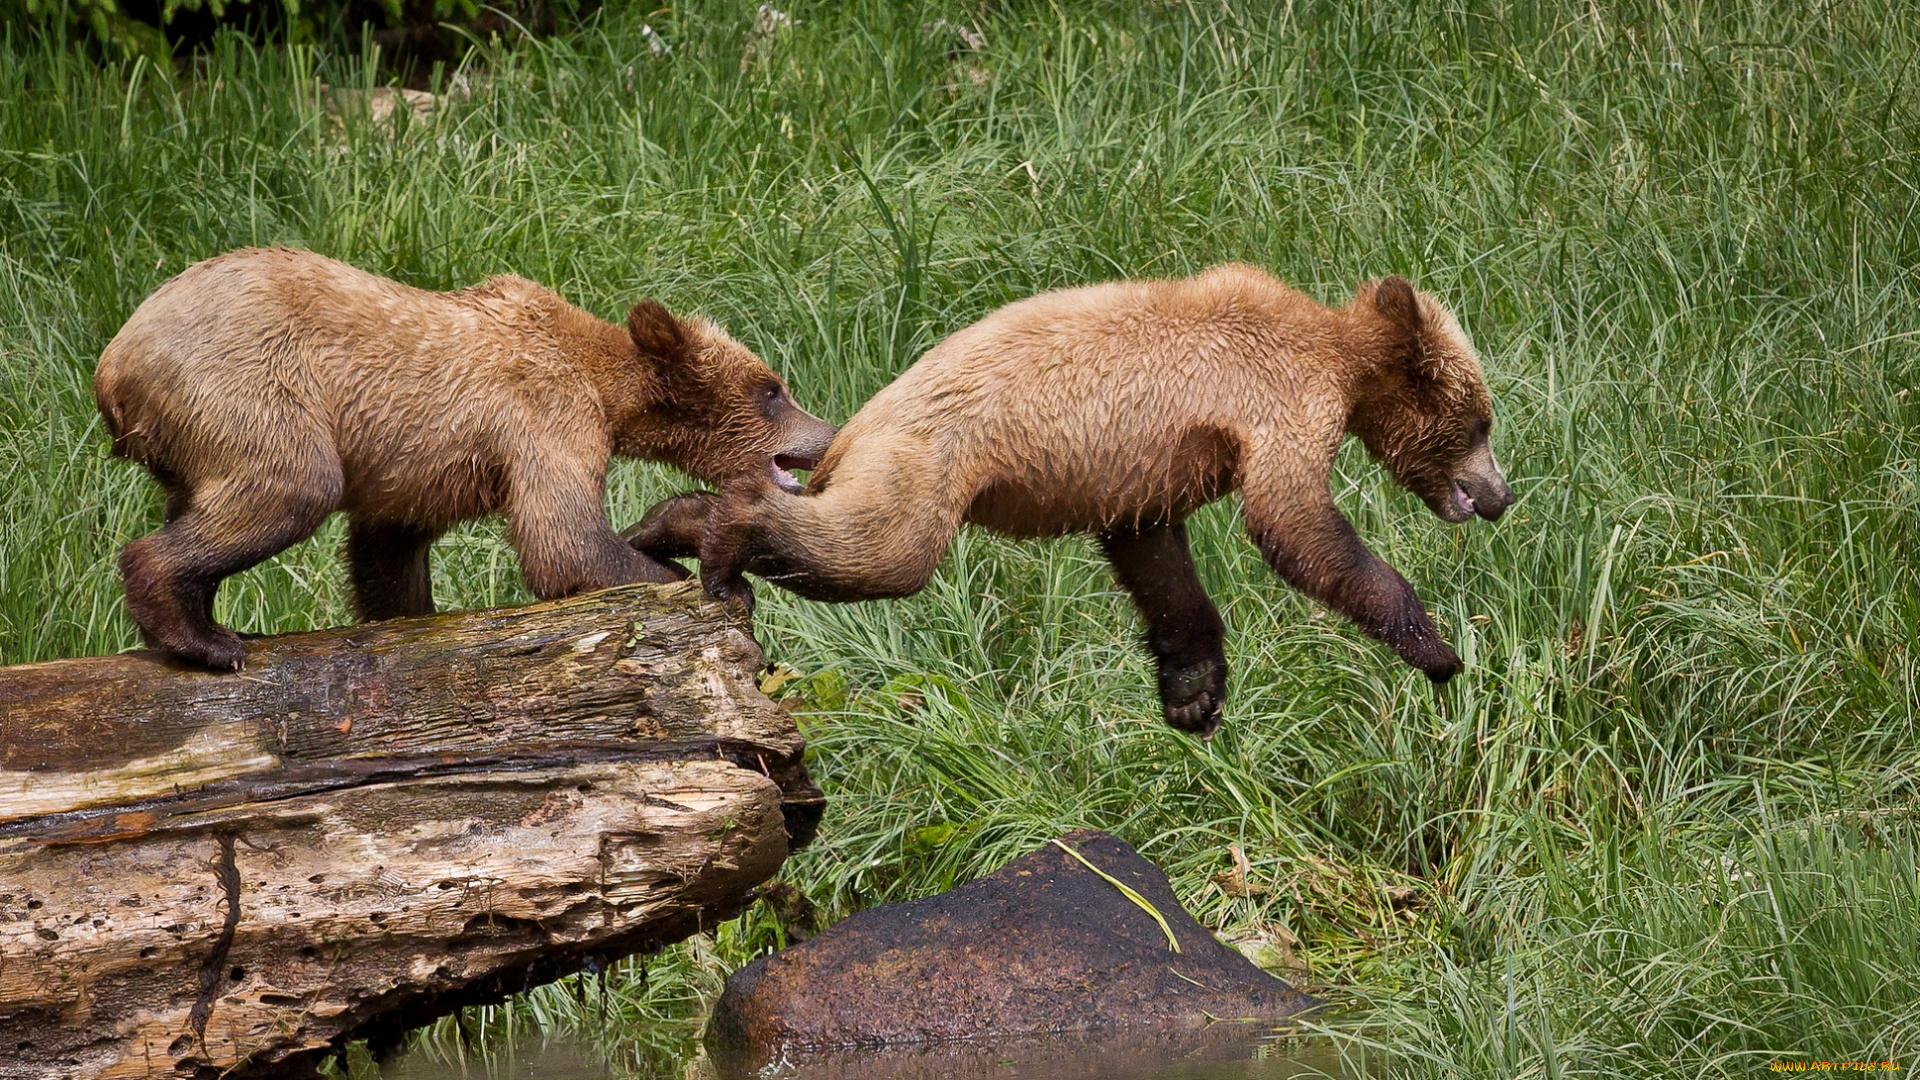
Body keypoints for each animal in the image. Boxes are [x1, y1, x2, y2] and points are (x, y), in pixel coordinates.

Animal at [93, 245, 833, 664]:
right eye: (772, 390)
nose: (827, 433)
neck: (607, 389)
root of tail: (113, 363)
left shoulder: (423, 473)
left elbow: (387, 554)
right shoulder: (544, 417)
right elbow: (563, 539)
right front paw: (700, 580)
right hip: (250, 387)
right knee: (290, 485)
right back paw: (205, 640)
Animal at [629, 263, 1512, 730]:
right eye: (1480, 420)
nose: (1500, 496)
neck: (1341, 363)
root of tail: (851, 430)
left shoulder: (1143, 475)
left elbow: (1156, 558)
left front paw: (1193, 692)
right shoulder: (1278, 404)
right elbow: (1296, 525)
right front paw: (1437, 648)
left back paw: (658, 527)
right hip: (922, 468)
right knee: (876, 554)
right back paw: (719, 538)